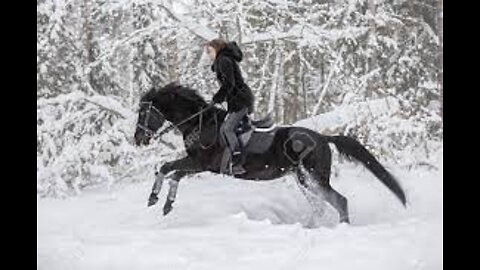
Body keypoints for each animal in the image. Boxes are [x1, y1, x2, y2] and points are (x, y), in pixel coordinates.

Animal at [132, 84, 404, 224]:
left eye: (144, 113)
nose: (138, 140)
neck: (201, 123)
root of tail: (323, 138)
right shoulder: (199, 165)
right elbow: (170, 171)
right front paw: (159, 201)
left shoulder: (200, 163)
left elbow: (170, 169)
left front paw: (160, 201)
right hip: (304, 180)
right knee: (321, 206)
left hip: (313, 178)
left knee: (340, 201)